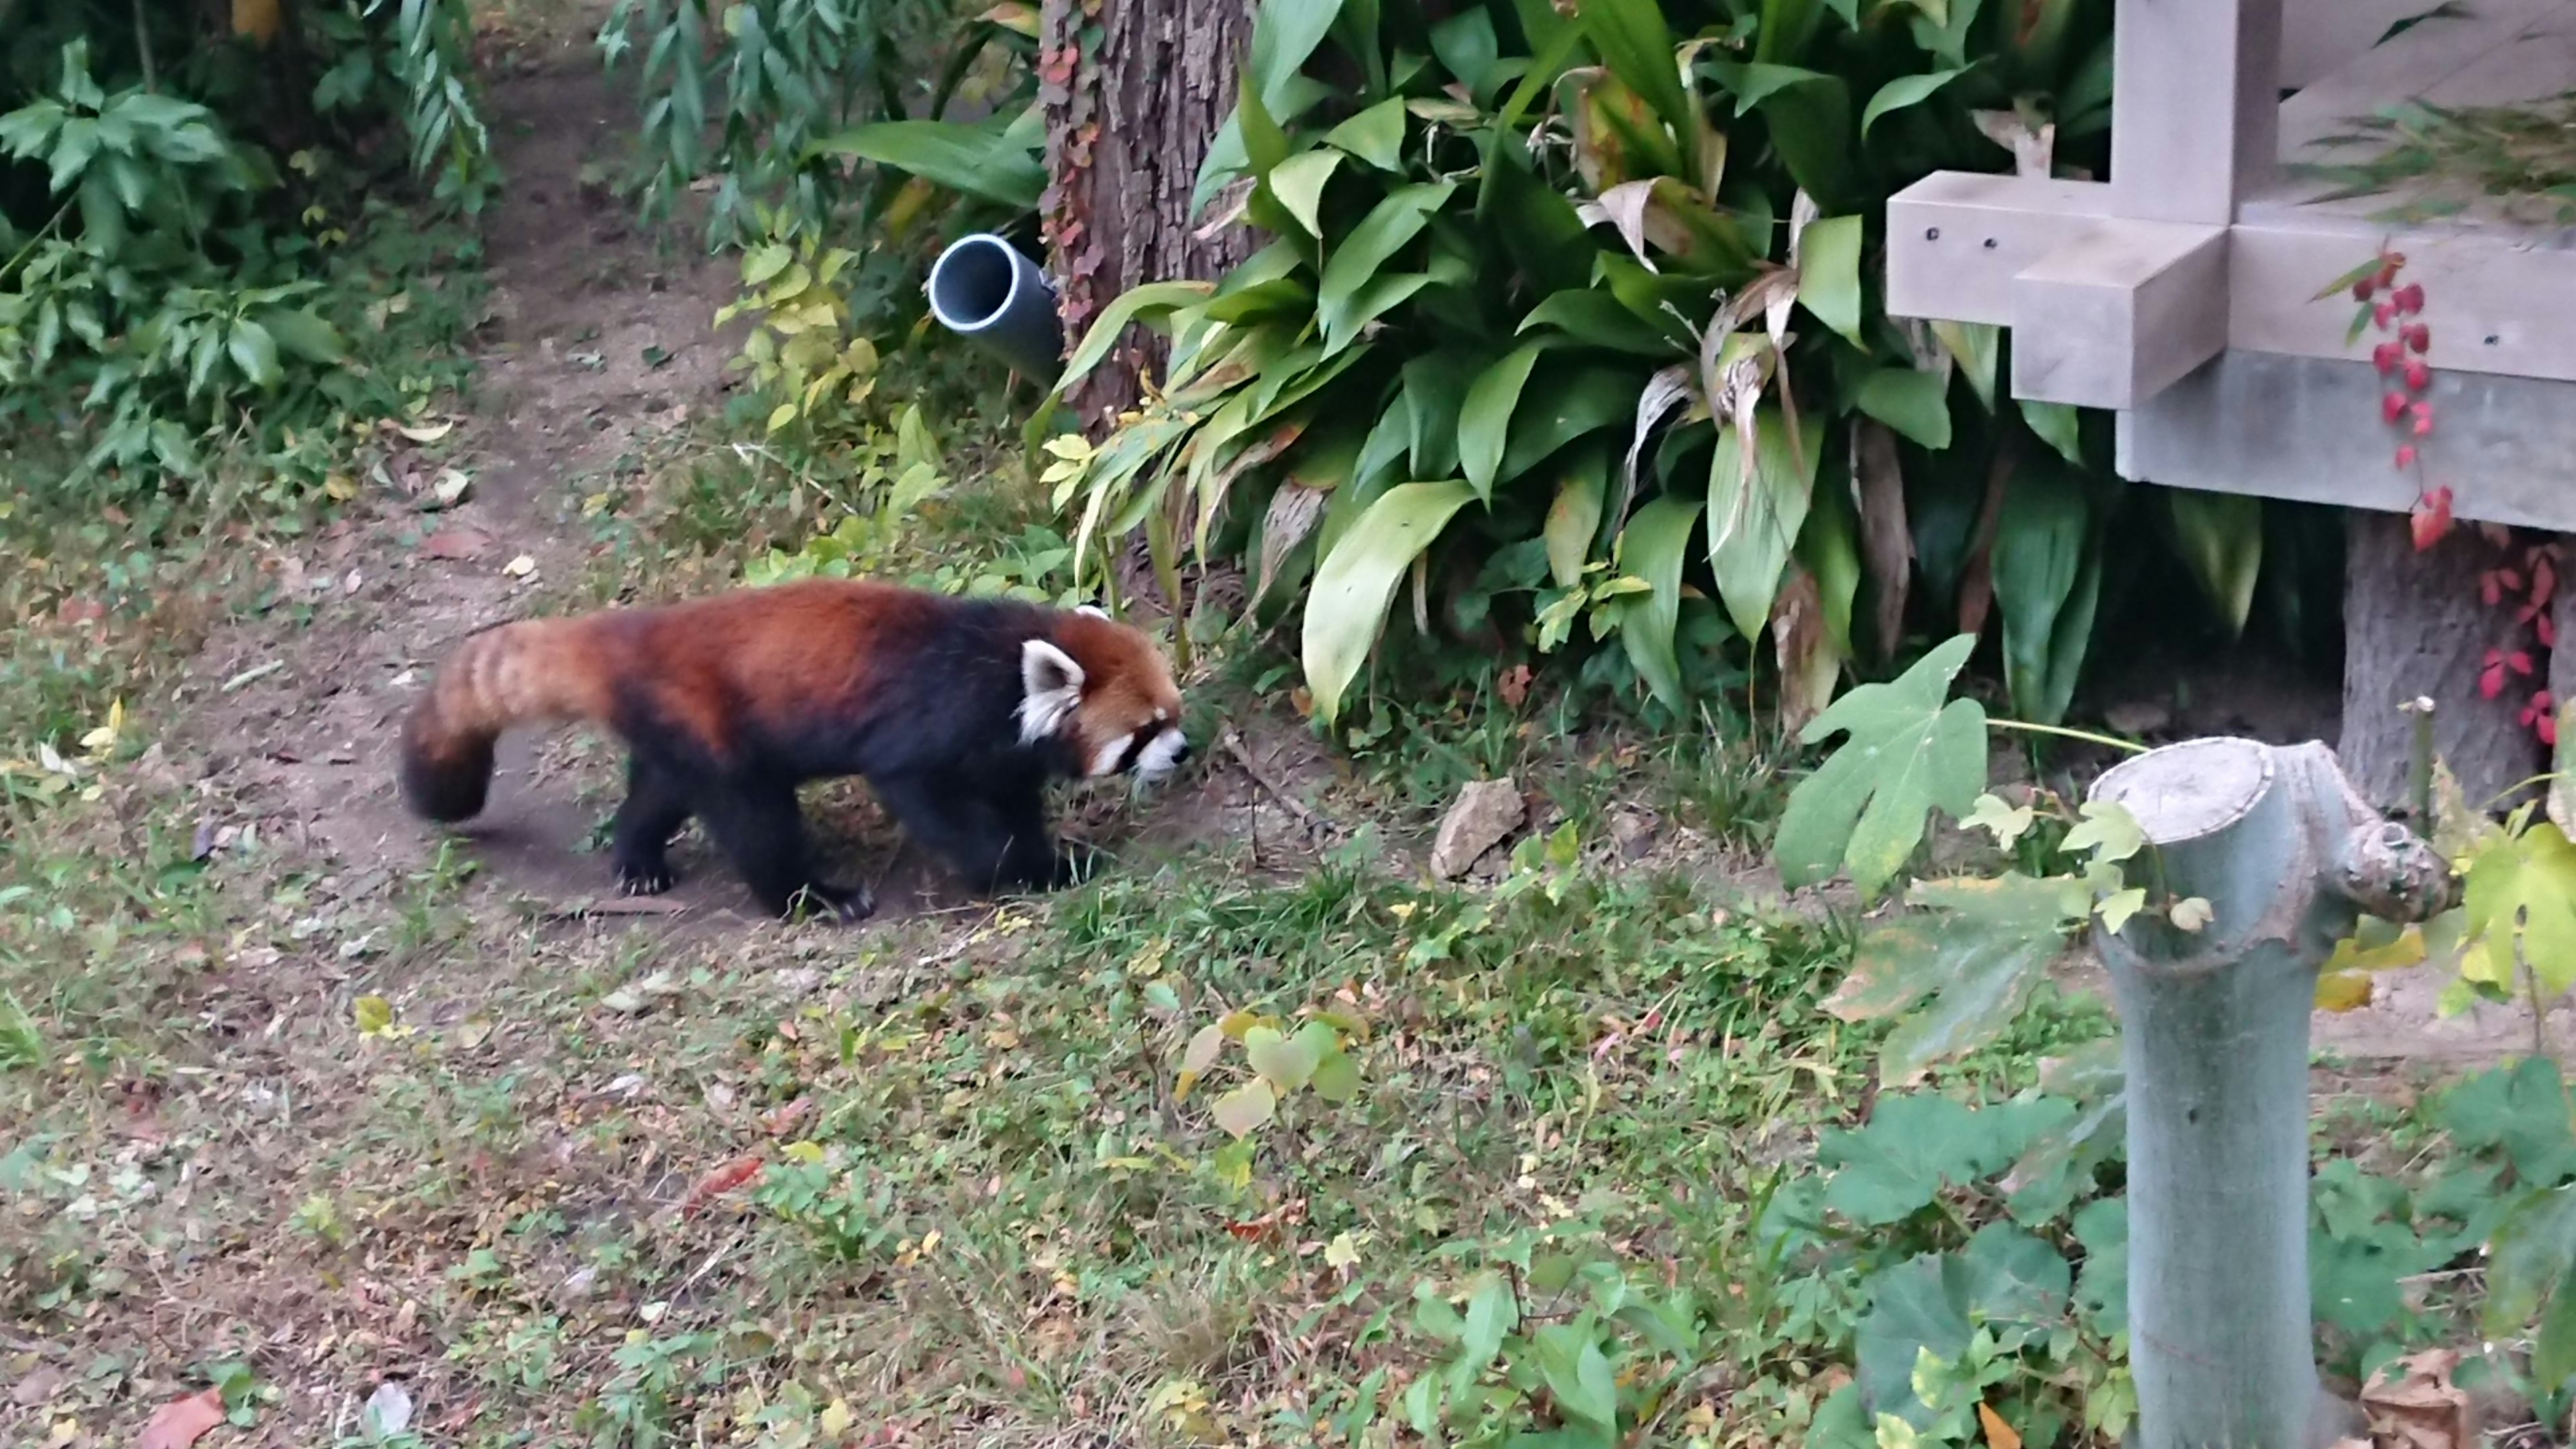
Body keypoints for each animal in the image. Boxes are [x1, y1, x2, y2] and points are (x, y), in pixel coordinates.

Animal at [396, 572, 1190, 912]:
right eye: (1144, 731)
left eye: (1174, 712)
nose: (1183, 751)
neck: (1000, 669)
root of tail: (632, 631)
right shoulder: (930, 730)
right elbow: (935, 803)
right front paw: (1017, 869)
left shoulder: (1004, 753)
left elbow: (1014, 799)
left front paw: (1046, 859)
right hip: (718, 728)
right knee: (753, 820)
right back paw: (812, 895)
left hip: (680, 723)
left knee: (660, 788)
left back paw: (638, 860)